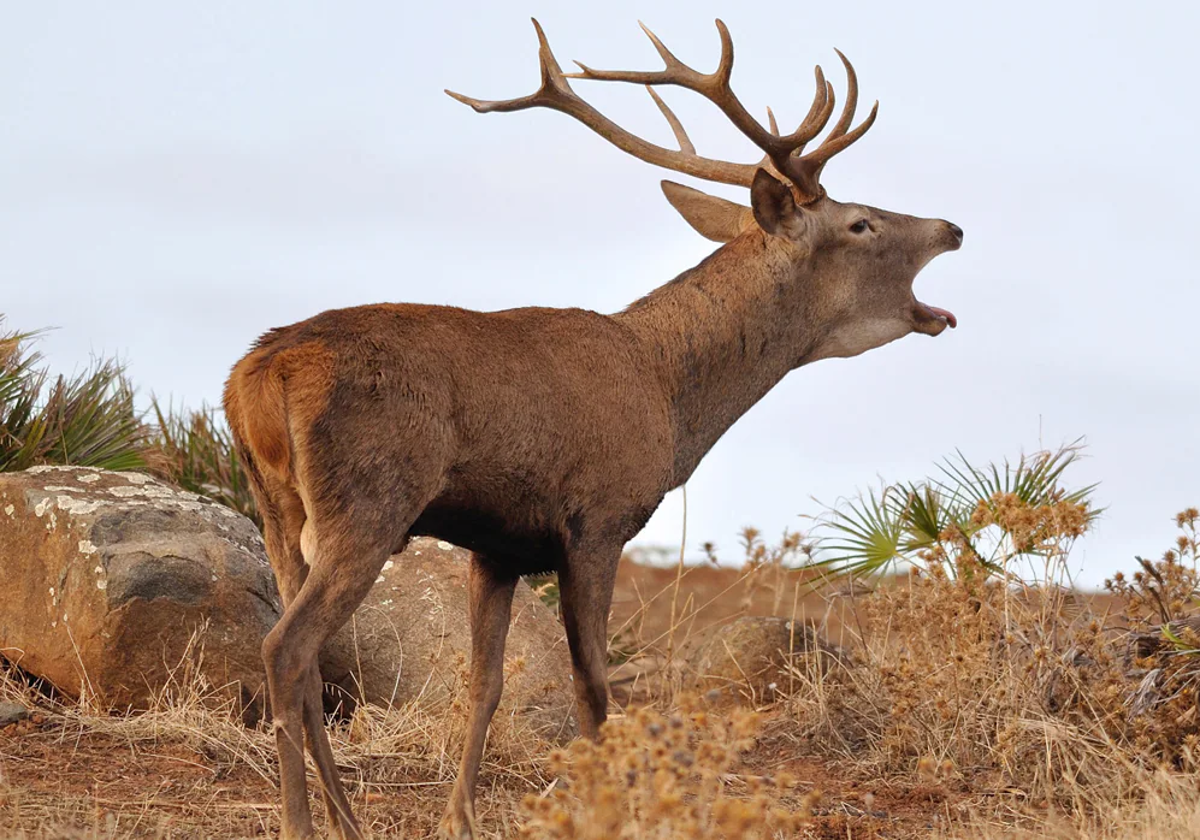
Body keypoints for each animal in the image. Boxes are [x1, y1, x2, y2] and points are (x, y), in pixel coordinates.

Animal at [220, 19, 960, 840]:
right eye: (861, 221)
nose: (952, 226)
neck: (667, 396)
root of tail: (258, 374)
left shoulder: (499, 546)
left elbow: (486, 684)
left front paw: (460, 817)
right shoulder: (598, 519)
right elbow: (595, 690)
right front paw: (608, 805)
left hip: (277, 509)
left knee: (308, 656)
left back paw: (347, 820)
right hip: (370, 499)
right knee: (287, 647)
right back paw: (300, 822)